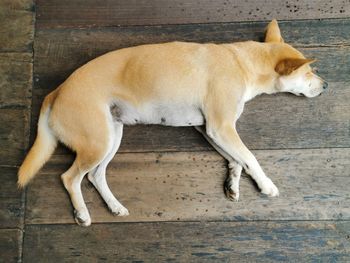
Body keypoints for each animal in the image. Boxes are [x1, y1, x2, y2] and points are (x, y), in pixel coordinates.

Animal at [17, 20, 328, 227]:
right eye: (308, 72)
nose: (325, 86)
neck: (243, 62)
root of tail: (57, 90)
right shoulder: (221, 127)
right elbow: (250, 157)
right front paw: (266, 185)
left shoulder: (210, 130)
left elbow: (236, 159)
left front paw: (232, 184)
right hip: (98, 142)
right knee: (70, 177)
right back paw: (82, 214)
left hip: (111, 137)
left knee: (95, 176)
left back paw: (115, 207)